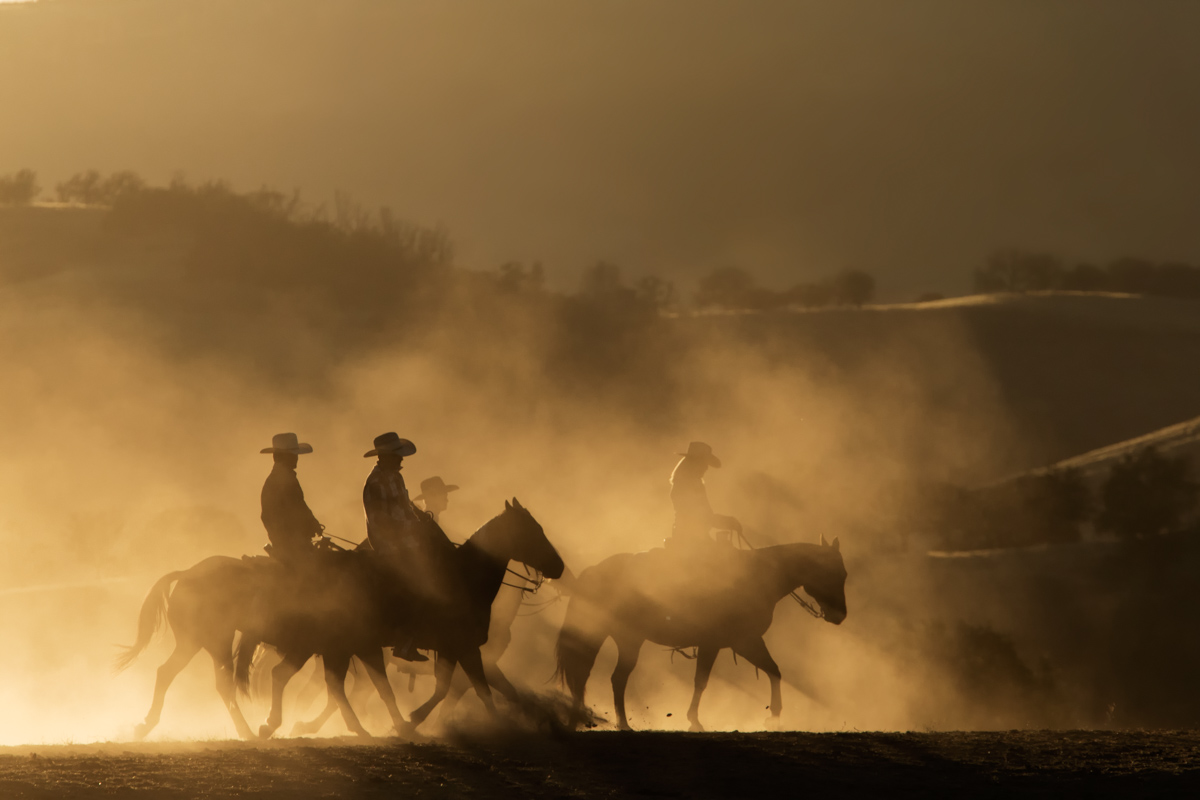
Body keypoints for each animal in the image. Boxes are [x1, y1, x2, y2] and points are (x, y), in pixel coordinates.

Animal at [238, 501, 566, 738]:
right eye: (532, 531)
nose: (559, 567)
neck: (465, 578)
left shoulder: (457, 650)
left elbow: (461, 688)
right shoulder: (466, 647)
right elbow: (474, 689)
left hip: (336, 649)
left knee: (312, 681)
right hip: (328, 647)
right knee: (300, 679)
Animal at [552, 537, 844, 734]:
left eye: (843, 573)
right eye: (836, 573)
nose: (840, 616)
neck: (760, 577)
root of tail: (593, 571)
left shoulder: (741, 641)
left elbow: (773, 670)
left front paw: (773, 716)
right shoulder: (731, 642)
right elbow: (704, 680)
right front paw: (696, 720)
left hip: (615, 638)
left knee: (598, 675)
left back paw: (589, 719)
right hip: (617, 638)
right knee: (602, 676)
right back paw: (615, 723)